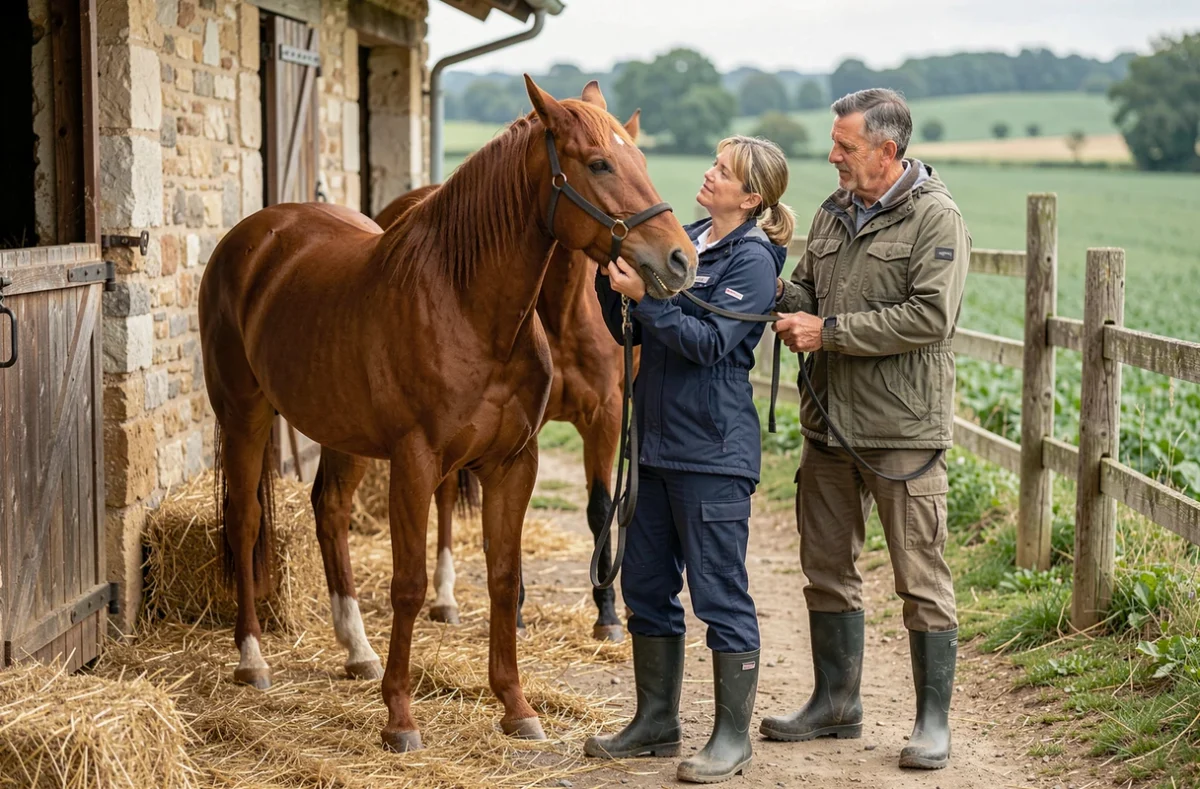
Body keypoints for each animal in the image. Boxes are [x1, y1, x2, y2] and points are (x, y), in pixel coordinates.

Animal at [369, 111, 643, 643]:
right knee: (444, 494)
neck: (561, 311)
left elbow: (600, 509)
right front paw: (512, 612)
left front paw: (607, 615)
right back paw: (445, 596)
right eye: (600, 164)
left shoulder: (604, 416)